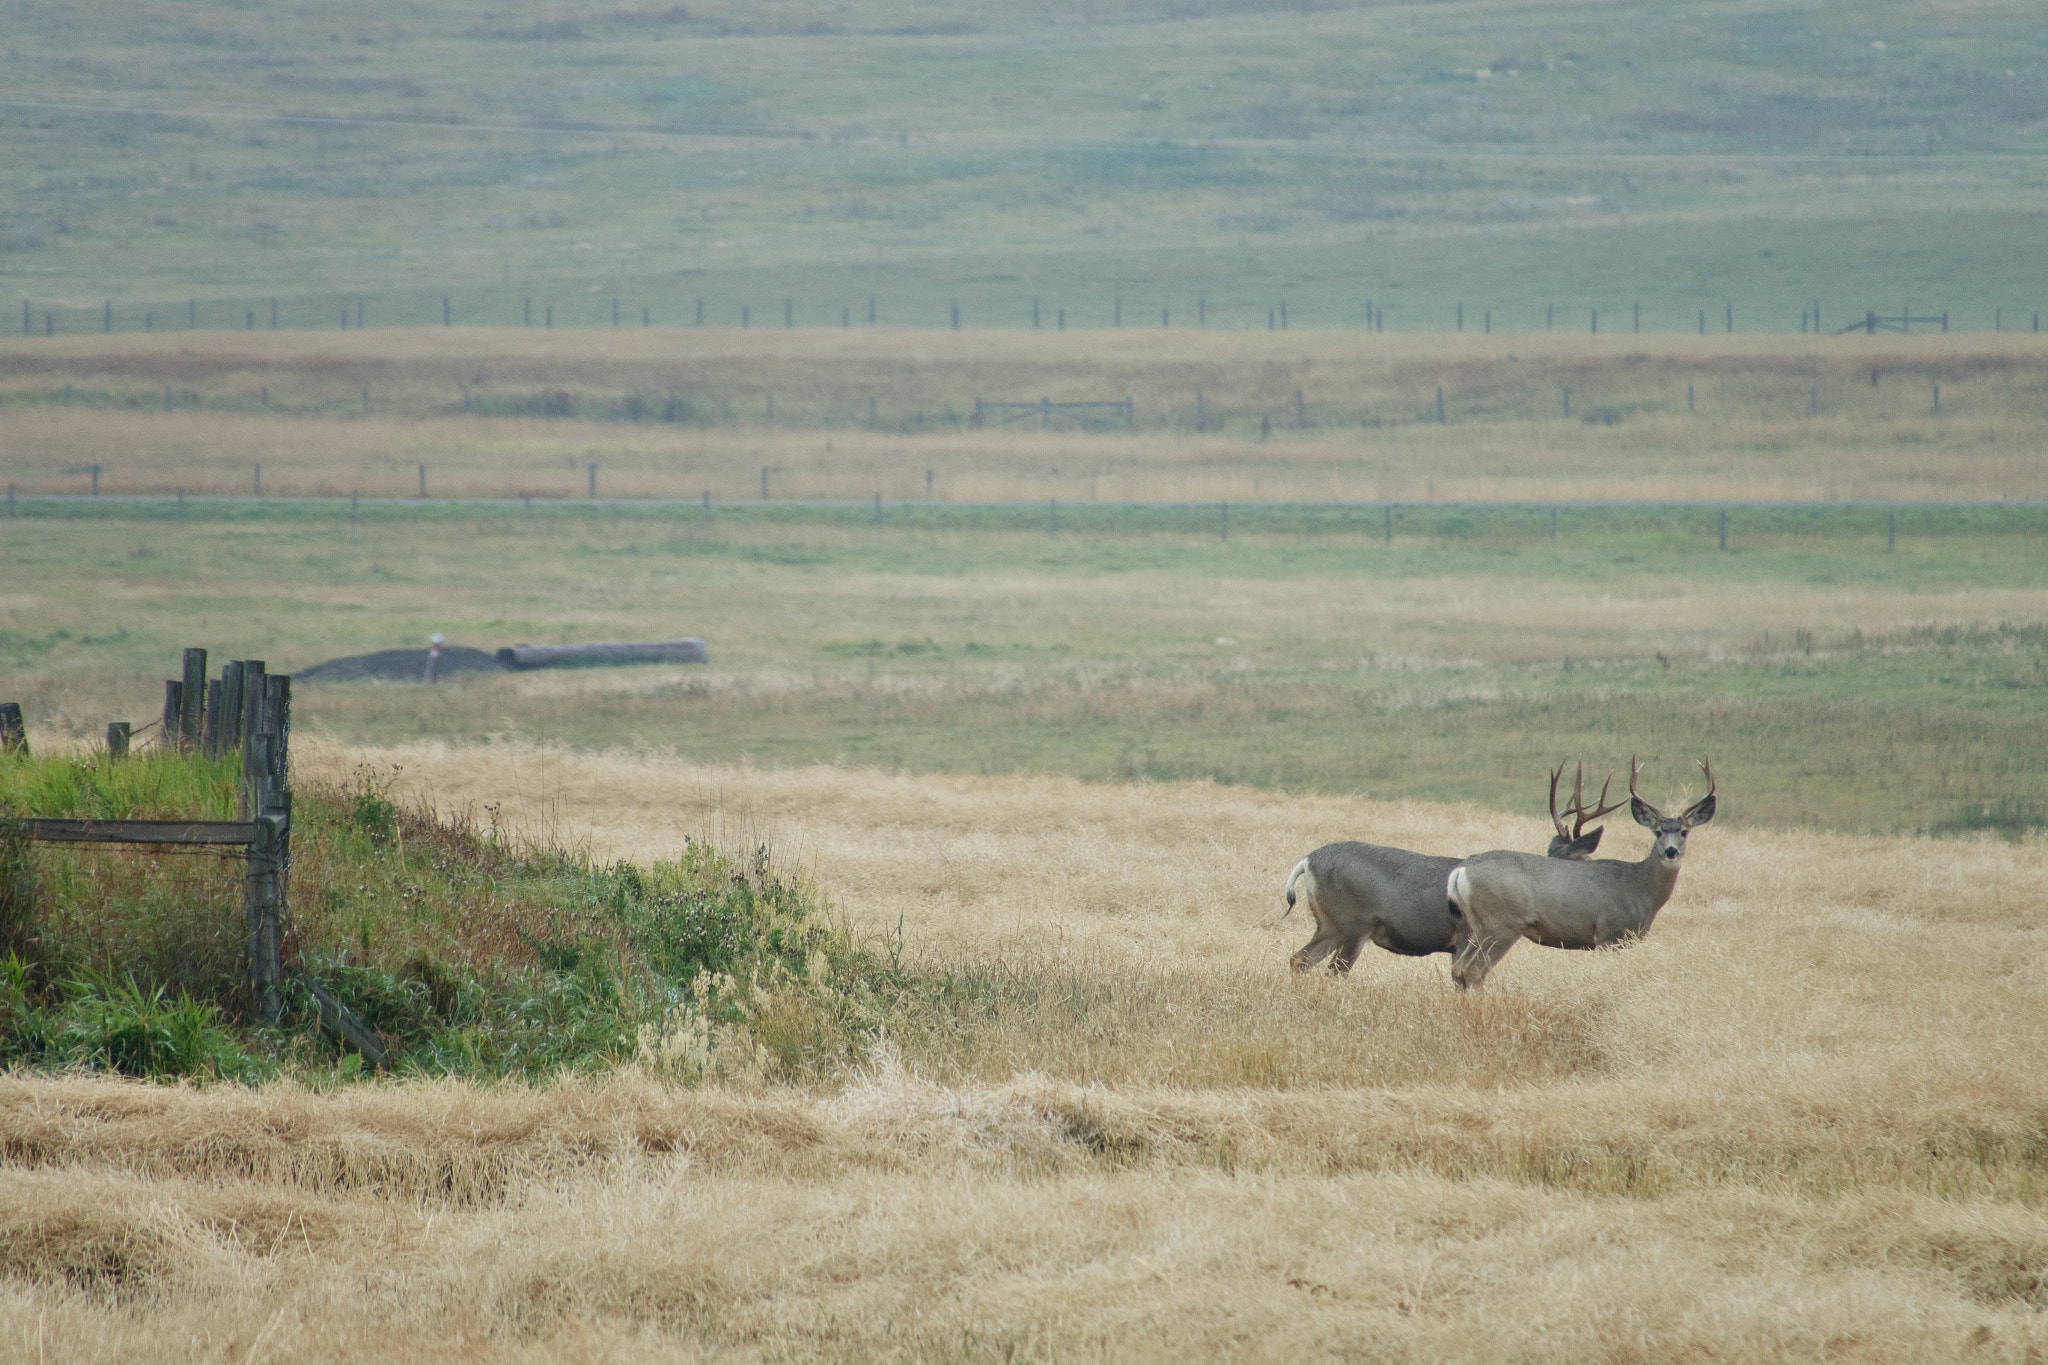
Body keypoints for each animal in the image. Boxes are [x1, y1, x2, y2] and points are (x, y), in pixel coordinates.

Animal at [1277, 769, 1630, 970]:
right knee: (1331, 969)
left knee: (1299, 959)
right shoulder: (1465, 935)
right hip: (1352, 923)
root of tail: (1307, 861)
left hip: (1330, 924)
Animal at [1449, 757, 1720, 994]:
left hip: (1479, 926)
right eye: (1658, 832)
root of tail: (1462, 870)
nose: (1671, 851)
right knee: (1474, 971)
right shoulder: (1608, 934)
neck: (1639, 888)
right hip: (1502, 923)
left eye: (1684, 831)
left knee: (1458, 968)